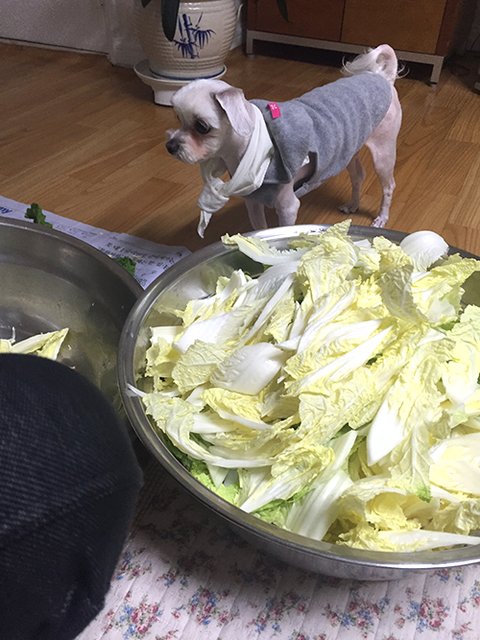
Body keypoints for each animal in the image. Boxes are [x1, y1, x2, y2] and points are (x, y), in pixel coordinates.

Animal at [166, 44, 402, 237]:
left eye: (202, 126)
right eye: (178, 118)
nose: (170, 146)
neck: (251, 149)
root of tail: (382, 77)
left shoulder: (288, 207)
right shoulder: (253, 203)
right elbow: (259, 229)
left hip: (383, 152)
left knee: (389, 186)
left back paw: (381, 218)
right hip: (347, 151)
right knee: (358, 176)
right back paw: (353, 204)